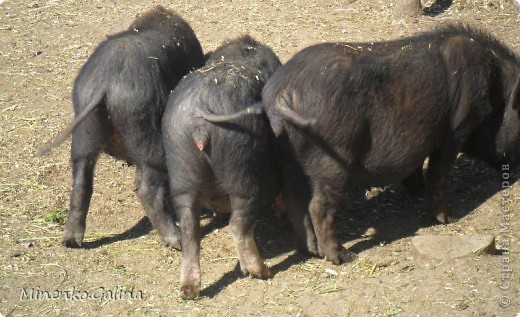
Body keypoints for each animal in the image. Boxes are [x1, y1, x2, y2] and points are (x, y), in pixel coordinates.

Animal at [38, 4, 205, 247]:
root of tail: (106, 82)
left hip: (85, 128)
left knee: (81, 178)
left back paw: (71, 241)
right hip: (145, 128)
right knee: (147, 189)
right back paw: (176, 240)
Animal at [165, 35, 282, 298]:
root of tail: (199, 117)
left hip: (181, 166)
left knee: (189, 228)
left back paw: (189, 290)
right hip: (240, 162)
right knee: (239, 223)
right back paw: (261, 272)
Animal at [264, 24, 520, 262]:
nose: (515, 170)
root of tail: (283, 93)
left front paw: (418, 191)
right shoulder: (456, 129)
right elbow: (438, 172)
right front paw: (449, 218)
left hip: (288, 156)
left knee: (295, 201)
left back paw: (311, 251)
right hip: (331, 155)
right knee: (318, 206)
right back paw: (342, 257)